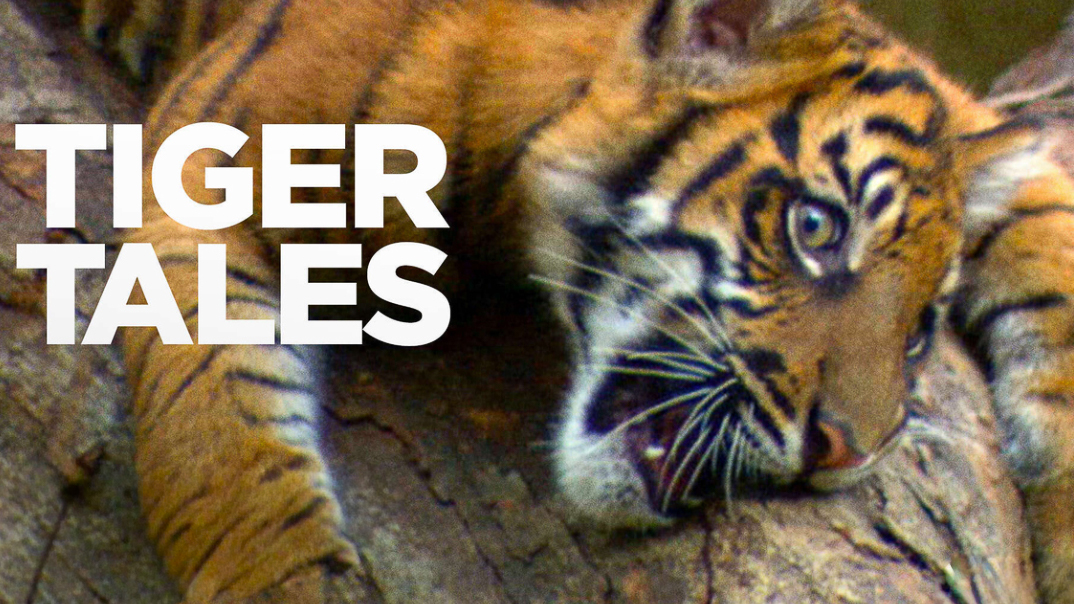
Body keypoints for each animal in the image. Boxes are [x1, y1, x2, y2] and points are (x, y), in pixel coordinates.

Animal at [66, 0, 1074, 602]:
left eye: (919, 332)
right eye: (816, 228)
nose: (844, 451)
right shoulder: (209, 161)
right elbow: (213, 430)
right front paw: (282, 579)